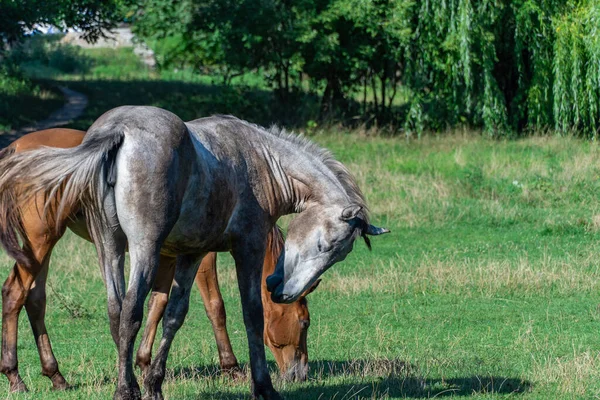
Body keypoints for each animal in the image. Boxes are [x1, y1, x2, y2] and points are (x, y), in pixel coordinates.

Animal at [0, 106, 390, 400]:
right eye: (303, 322)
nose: (299, 374)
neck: (261, 161)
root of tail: (117, 132)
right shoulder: (242, 250)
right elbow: (243, 313)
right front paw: (257, 384)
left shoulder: (187, 255)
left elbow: (172, 313)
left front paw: (154, 380)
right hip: (93, 245)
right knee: (43, 297)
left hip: (106, 247)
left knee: (99, 307)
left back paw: (71, 378)